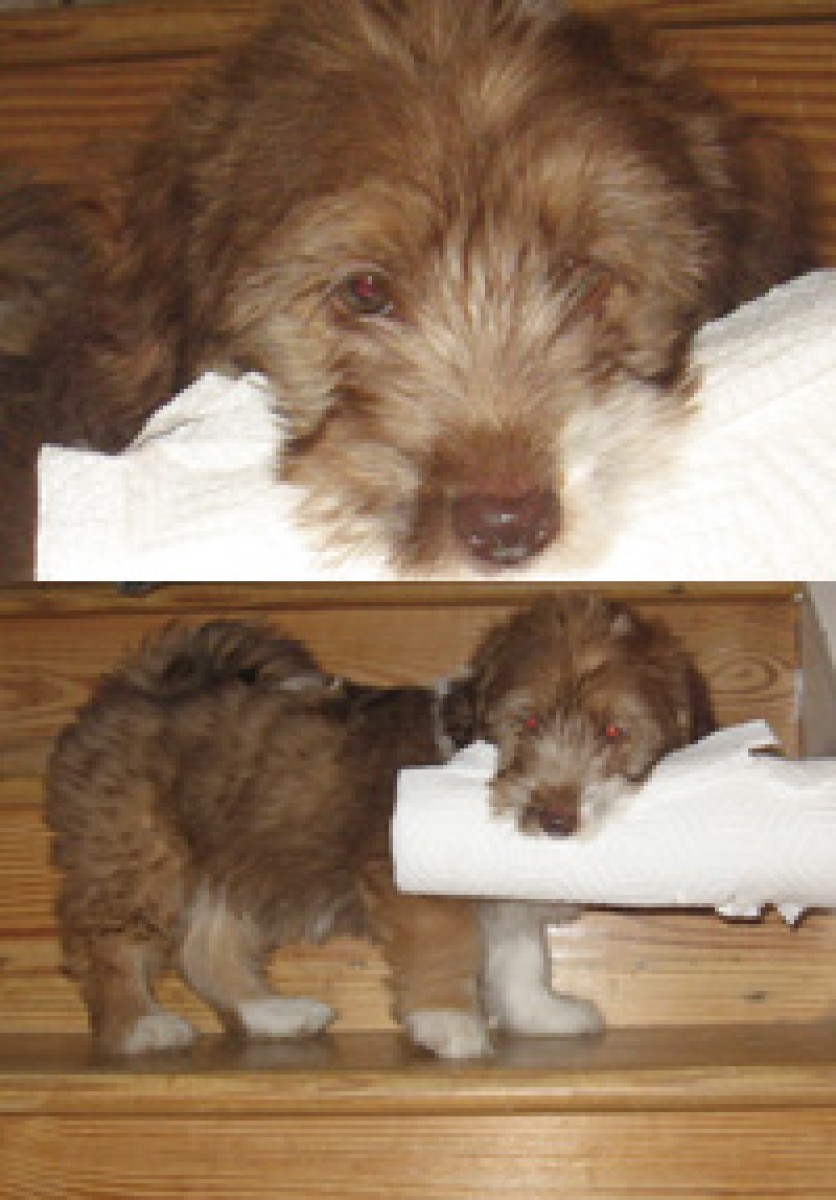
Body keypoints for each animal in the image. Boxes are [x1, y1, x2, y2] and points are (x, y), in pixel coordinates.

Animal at [45, 592, 711, 1058]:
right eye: (524, 723)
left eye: (615, 733)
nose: (553, 818)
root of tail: (139, 685)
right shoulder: (414, 882)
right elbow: (449, 946)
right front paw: (448, 1021)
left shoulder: (502, 892)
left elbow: (523, 956)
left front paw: (539, 1013)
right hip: (139, 854)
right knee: (107, 944)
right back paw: (139, 1025)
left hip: (228, 858)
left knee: (208, 950)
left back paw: (273, 1015)